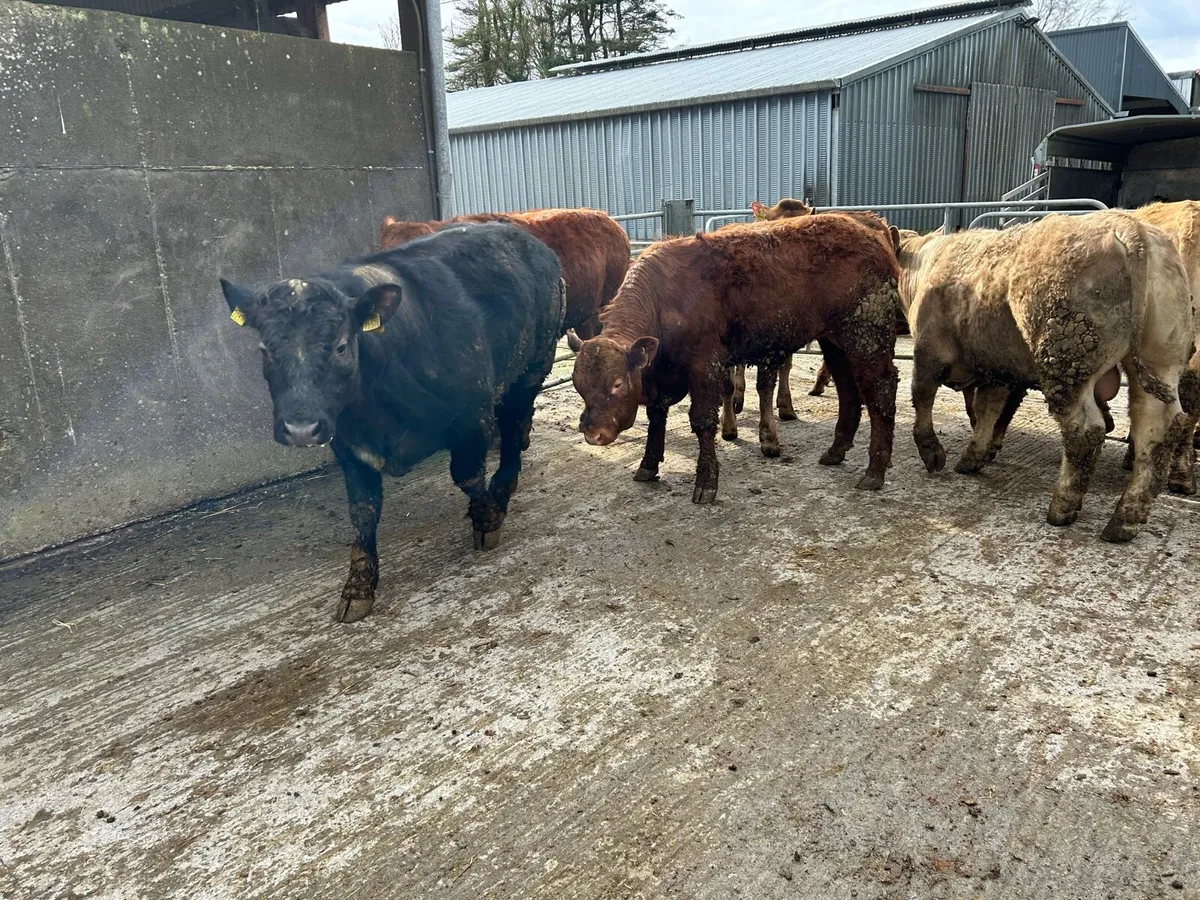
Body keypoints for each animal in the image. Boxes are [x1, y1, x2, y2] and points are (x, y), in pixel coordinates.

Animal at [220, 223, 565, 622]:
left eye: (341, 346)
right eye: (265, 350)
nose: (300, 428)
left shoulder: (472, 414)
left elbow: (466, 476)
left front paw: (488, 519)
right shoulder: (346, 442)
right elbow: (363, 510)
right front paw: (358, 586)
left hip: (533, 366)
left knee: (513, 426)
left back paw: (504, 484)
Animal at [572, 213, 902, 501]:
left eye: (617, 384)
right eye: (579, 386)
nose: (594, 434)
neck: (665, 298)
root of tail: (871, 233)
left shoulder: (705, 366)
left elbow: (703, 421)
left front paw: (706, 483)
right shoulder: (660, 377)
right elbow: (656, 417)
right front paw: (647, 466)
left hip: (866, 336)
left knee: (881, 390)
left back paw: (875, 471)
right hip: (833, 341)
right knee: (848, 389)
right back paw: (835, 452)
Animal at [896, 212, 1195, 543]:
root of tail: (1129, 227)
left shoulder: (929, 351)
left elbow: (923, 395)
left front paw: (932, 452)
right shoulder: (999, 369)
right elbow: (988, 411)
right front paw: (974, 457)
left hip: (1067, 362)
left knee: (1085, 430)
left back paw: (1062, 507)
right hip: (1161, 364)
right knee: (1157, 431)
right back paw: (1124, 520)